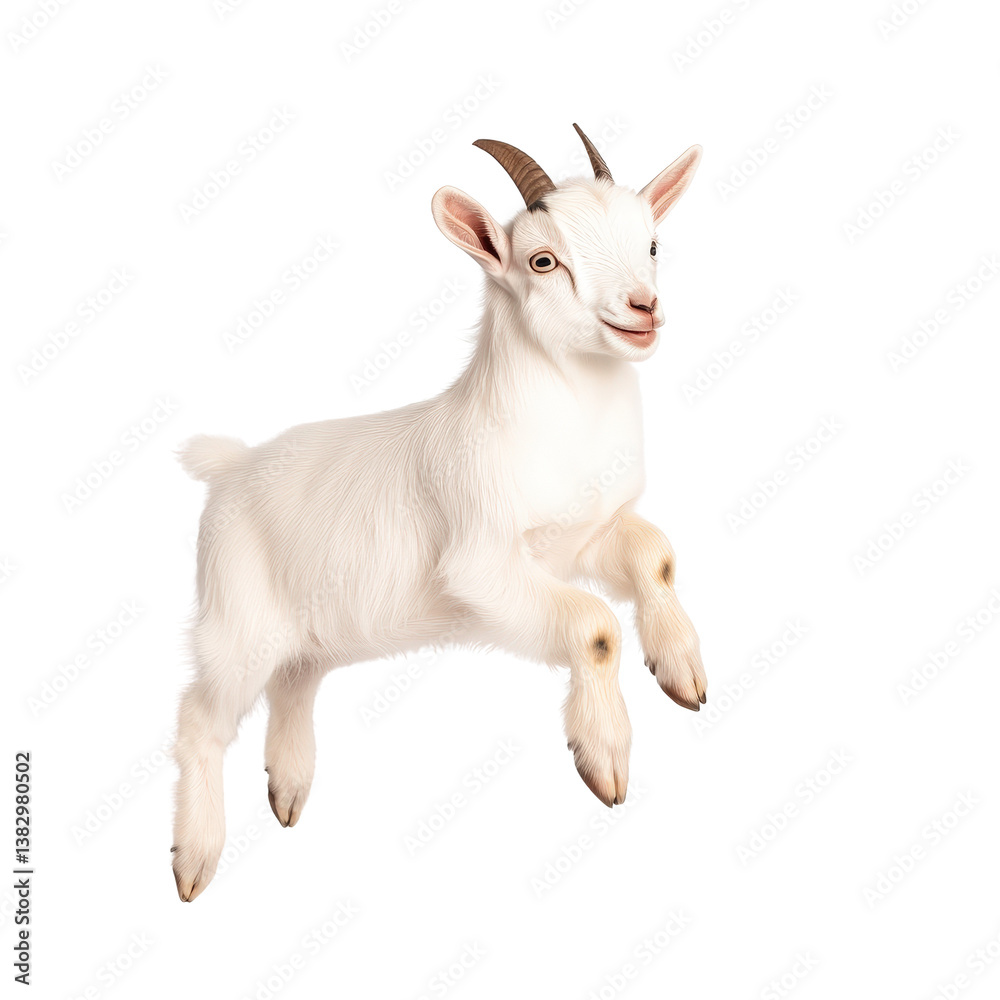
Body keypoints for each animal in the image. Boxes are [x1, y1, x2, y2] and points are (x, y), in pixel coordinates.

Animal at [171, 124, 707, 901]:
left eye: (654, 243)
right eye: (543, 260)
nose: (643, 309)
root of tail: (230, 465)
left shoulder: (580, 541)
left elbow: (654, 553)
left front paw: (682, 671)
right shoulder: (482, 565)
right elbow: (595, 626)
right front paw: (604, 755)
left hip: (308, 634)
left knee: (294, 682)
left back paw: (289, 789)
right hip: (235, 624)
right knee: (201, 718)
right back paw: (194, 857)